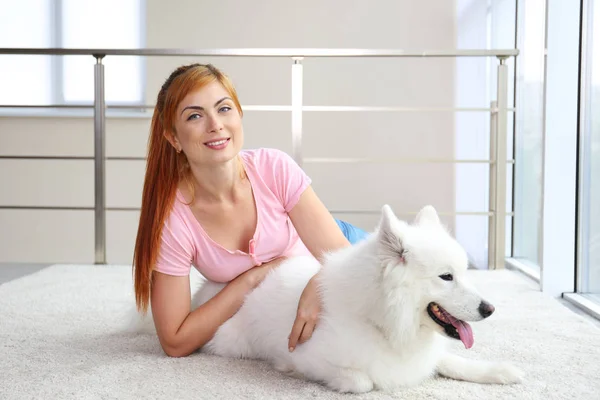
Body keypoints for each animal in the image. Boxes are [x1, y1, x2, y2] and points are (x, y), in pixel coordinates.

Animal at [134, 205, 524, 392]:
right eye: (446, 277)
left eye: (465, 273)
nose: (490, 309)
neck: (380, 317)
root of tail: (210, 288)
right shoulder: (312, 354)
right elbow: (362, 381)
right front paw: (293, 371)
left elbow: (451, 361)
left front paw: (498, 371)